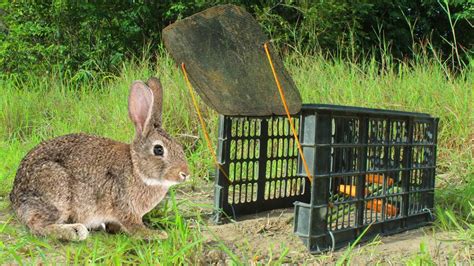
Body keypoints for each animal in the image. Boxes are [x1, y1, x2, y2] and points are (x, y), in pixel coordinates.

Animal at [9, 77, 191, 241]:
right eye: (158, 150)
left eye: (179, 146)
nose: (185, 174)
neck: (136, 168)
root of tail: (16, 196)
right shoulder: (124, 205)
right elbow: (134, 226)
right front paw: (156, 234)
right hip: (55, 189)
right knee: (36, 225)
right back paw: (75, 231)